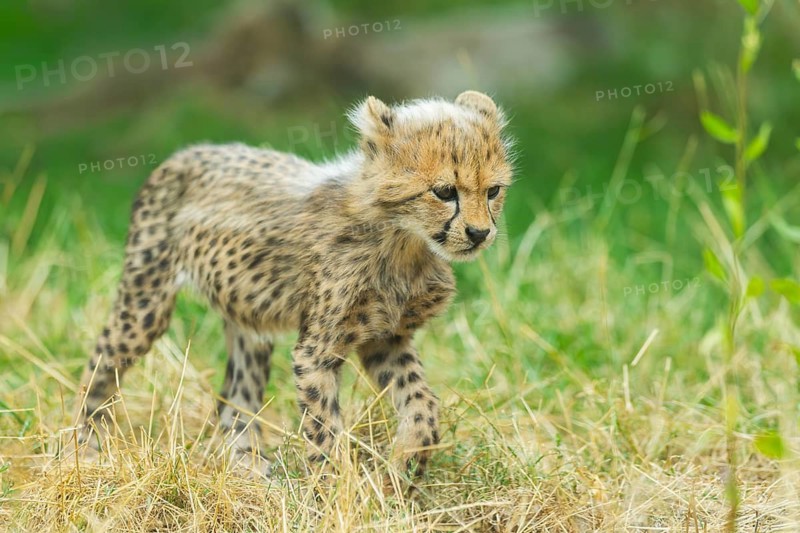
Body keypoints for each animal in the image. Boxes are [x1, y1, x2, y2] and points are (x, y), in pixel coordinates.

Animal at [70, 90, 513, 480]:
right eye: (444, 191)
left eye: (493, 191)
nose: (479, 234)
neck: (404, 240)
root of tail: (189, 150)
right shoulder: (317, 352)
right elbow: (324, 430)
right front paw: (333, 494)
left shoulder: (385, 338)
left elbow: (422, 403)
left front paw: (406, 465)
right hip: (146, 303)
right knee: (102, 363)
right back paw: (84, 448)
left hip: (248, 318)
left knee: (236, 399)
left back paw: (249, 467)